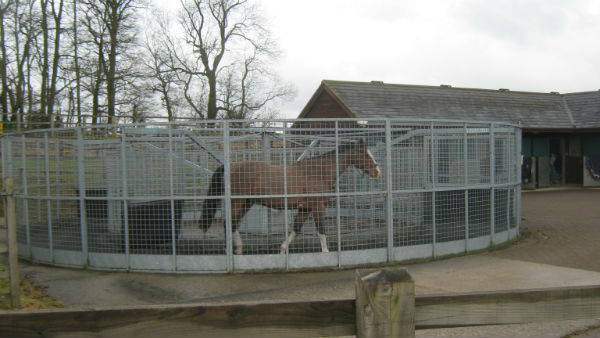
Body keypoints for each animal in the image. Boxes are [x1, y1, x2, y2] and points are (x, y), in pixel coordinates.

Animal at [199, 139, 382, 254]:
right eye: (366, 154)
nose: (377, 171)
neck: (319, 172)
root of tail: (230, 166)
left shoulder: (305, 209)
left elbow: (296, 229)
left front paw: (282, 250)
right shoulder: (317, 207)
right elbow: (321, 231)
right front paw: (326, 252)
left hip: (247, 203)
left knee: (233, 224)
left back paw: (238, 249)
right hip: (238, 202)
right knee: (228, 224)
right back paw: (231, 251)